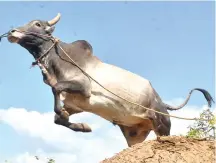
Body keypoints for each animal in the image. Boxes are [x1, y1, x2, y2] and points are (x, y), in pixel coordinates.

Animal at [5, 13, 213, 147]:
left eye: (37, 24)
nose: (12, 32)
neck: (57, 60)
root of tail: (162, 102)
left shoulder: (83, 86)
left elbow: (56, 89)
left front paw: (69, 117)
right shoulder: (76, 103)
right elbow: (58, 119)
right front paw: (83, 126)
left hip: (162, 124)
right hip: (134, 134)